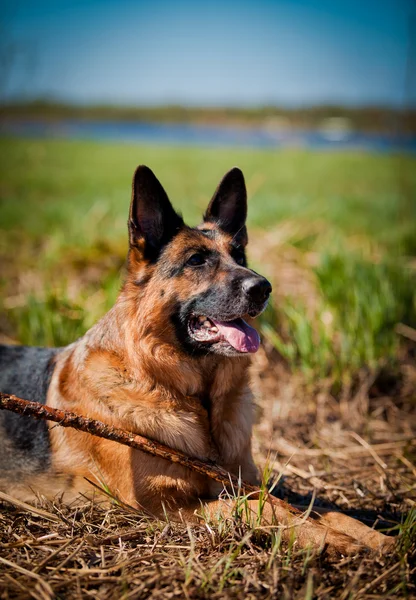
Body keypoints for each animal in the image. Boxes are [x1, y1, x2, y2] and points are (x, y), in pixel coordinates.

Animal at [0, 165, 394, 556]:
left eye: (240, 256)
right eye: (196, 260)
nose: (263, 288)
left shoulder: (244, 482)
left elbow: (322, 510)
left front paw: (376, 536)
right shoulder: (164, 506)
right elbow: (255, 509)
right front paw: (327, 538)